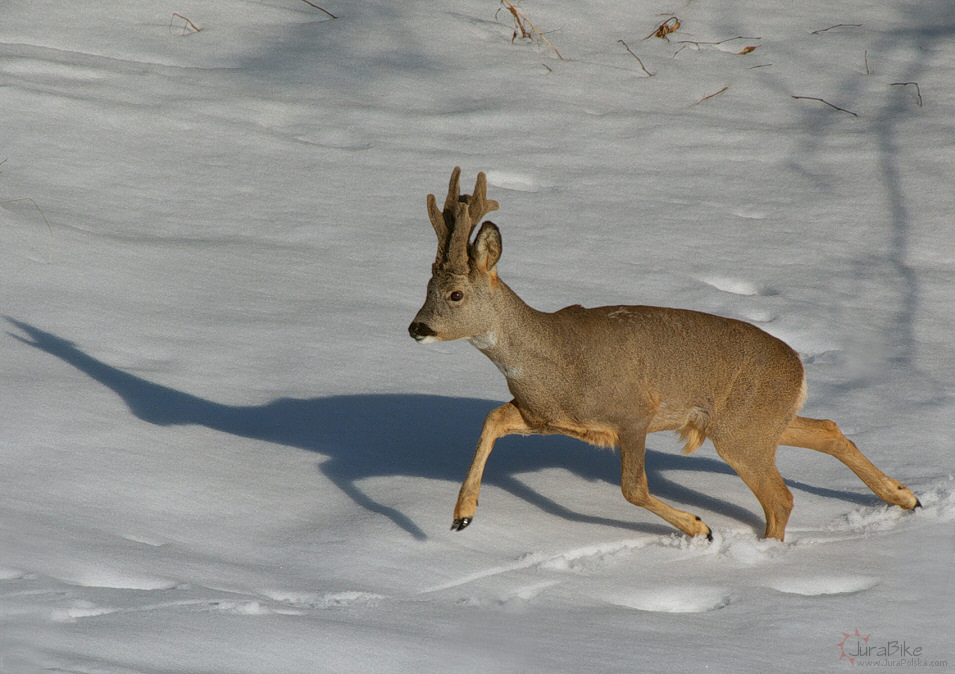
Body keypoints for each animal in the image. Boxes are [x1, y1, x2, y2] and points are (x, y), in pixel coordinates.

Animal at [408, 168, 924, 540]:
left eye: (455, 294)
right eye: (425, 288)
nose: (416, 328)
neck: (555, 360)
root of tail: (798, 366)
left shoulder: (634, 413)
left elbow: (633, 489)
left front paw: (701, 528)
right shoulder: (544, 417)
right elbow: (491, 419)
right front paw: (461, 516)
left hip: (742, 431)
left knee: (781, 497)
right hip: (756, 422)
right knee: (829, 430)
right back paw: (907, 497)